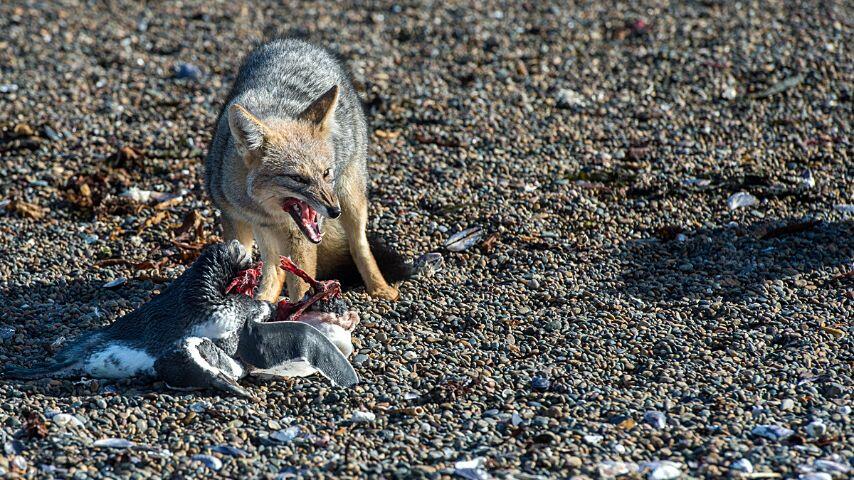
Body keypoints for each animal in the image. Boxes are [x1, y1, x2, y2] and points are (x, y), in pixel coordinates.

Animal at [205, 42, 402, 304]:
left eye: (326, 173)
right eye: (297, 178)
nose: (333, 211)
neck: (263, 210)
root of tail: (299, 43)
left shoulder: (299, 238)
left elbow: (301, 284)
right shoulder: (235, 219)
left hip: (351, 199)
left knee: (359, 245)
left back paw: (380, 288)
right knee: (275, 270)